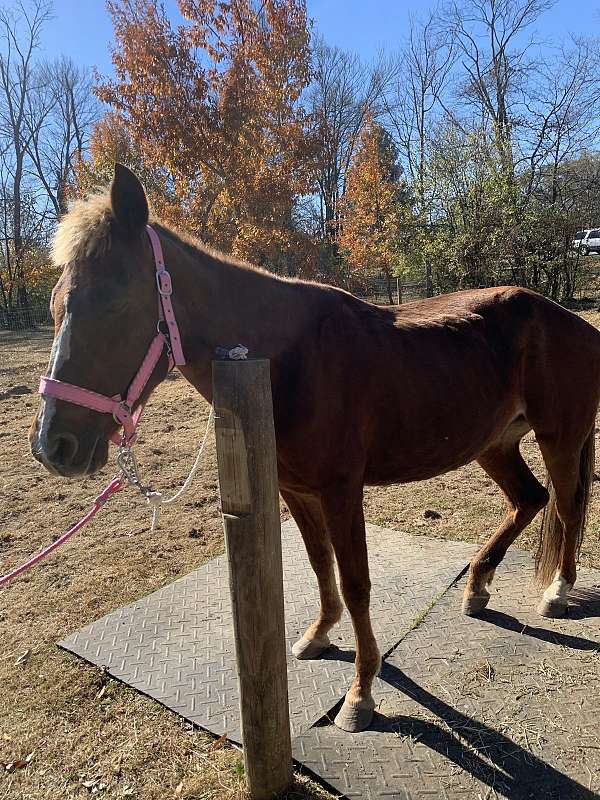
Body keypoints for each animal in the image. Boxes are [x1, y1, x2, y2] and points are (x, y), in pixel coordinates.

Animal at [29, 166, 600, 736]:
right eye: (55, 305)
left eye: (116, 303)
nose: (52, 444)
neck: (288, 359)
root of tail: (573, 322)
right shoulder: (296, 490)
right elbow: (319, 564)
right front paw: (319, 635)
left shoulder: (341, 491)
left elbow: (355, 582)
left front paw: (360, 693)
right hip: (494, 443)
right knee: (530, 499)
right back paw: (477, 587)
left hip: (558, 437)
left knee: (568, 505)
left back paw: (557, 592)